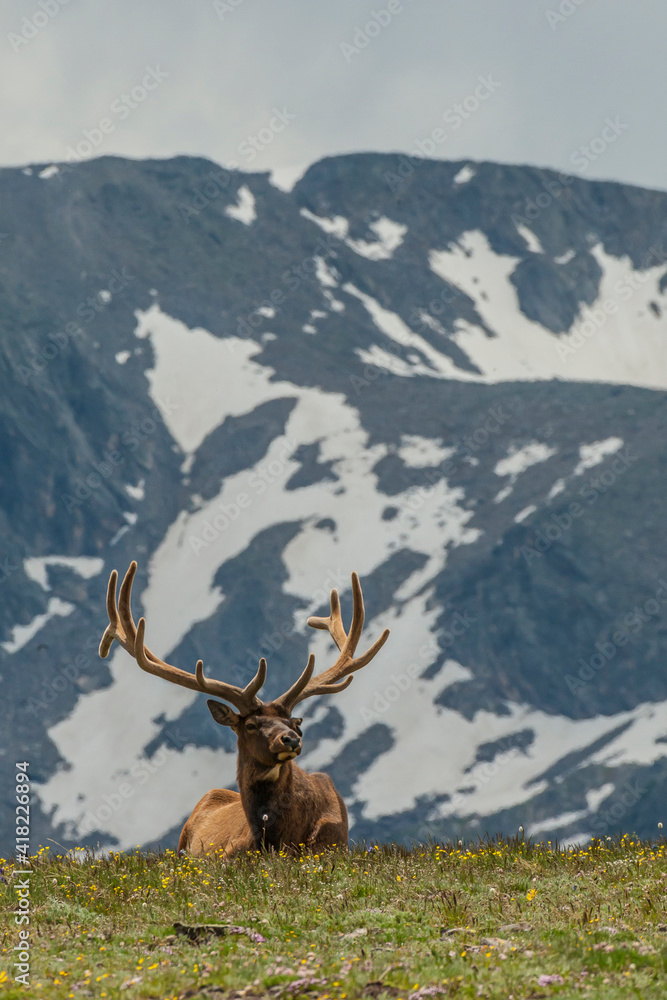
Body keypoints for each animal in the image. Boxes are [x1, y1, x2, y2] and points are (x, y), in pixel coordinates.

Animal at [100, 564, 392, 860]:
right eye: (250, 725)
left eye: (295, 723)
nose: (291, 739)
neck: (280, 837)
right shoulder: (227, 852)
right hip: (183, 842)